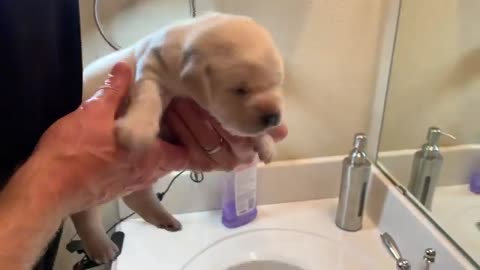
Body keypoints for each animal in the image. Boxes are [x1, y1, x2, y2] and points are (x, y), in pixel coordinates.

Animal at [75, 11, 284, 262]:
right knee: (84, 215)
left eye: (276, 83)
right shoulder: (150, 69)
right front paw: (137, 128)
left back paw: (164, 220)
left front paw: (266, 143)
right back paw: (101, 247)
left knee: (136, 196)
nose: (273, 117)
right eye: (240, 90)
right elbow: (148, 97)